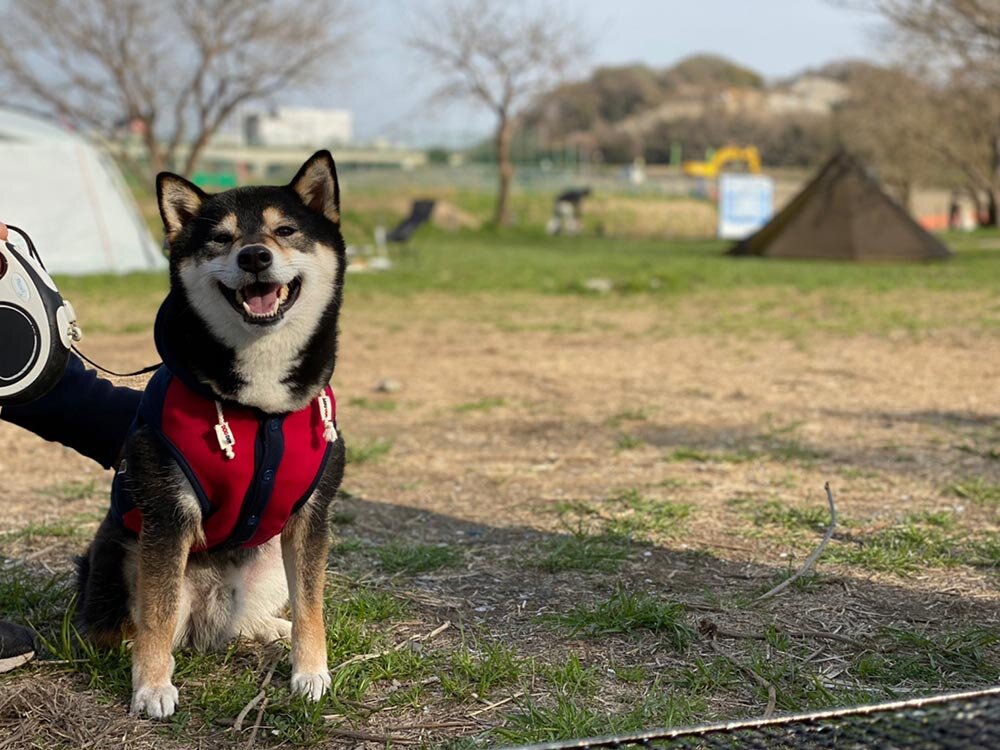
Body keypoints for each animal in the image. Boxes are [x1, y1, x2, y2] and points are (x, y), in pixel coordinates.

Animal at [74, 150, 348, 720]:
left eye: (285, 230)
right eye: (221, 238)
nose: (254, 257)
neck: (260, 404)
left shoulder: (311, 515)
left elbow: (312, 604)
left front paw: (311, 672)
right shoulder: (168, 513)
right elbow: (156, 619)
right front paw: (151, 687)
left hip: (266, 560)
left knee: (244, 621)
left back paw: (273, 627)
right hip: (126, 558)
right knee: (138, 627)